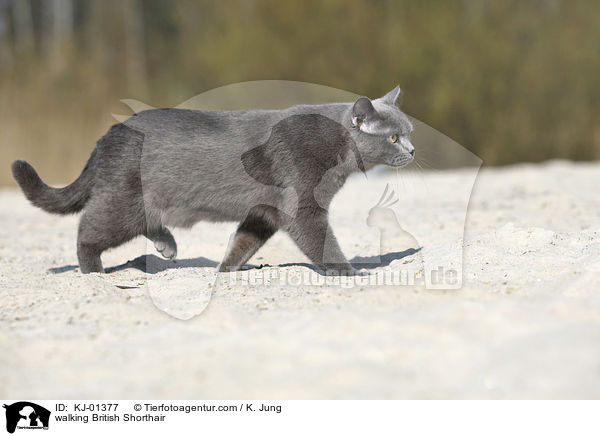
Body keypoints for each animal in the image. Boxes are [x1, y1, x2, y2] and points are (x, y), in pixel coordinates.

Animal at [11, 87, 414, 274]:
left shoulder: (264, 212)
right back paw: (93, 271)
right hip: (123, 201)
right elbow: (322, 241)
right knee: (88, 230)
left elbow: (243, 241)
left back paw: (167, 246)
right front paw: (348, 271)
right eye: (394, 137)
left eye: (408, 132)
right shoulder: (302, 207)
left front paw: (227, 270)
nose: (411, 150)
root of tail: (108, 135)